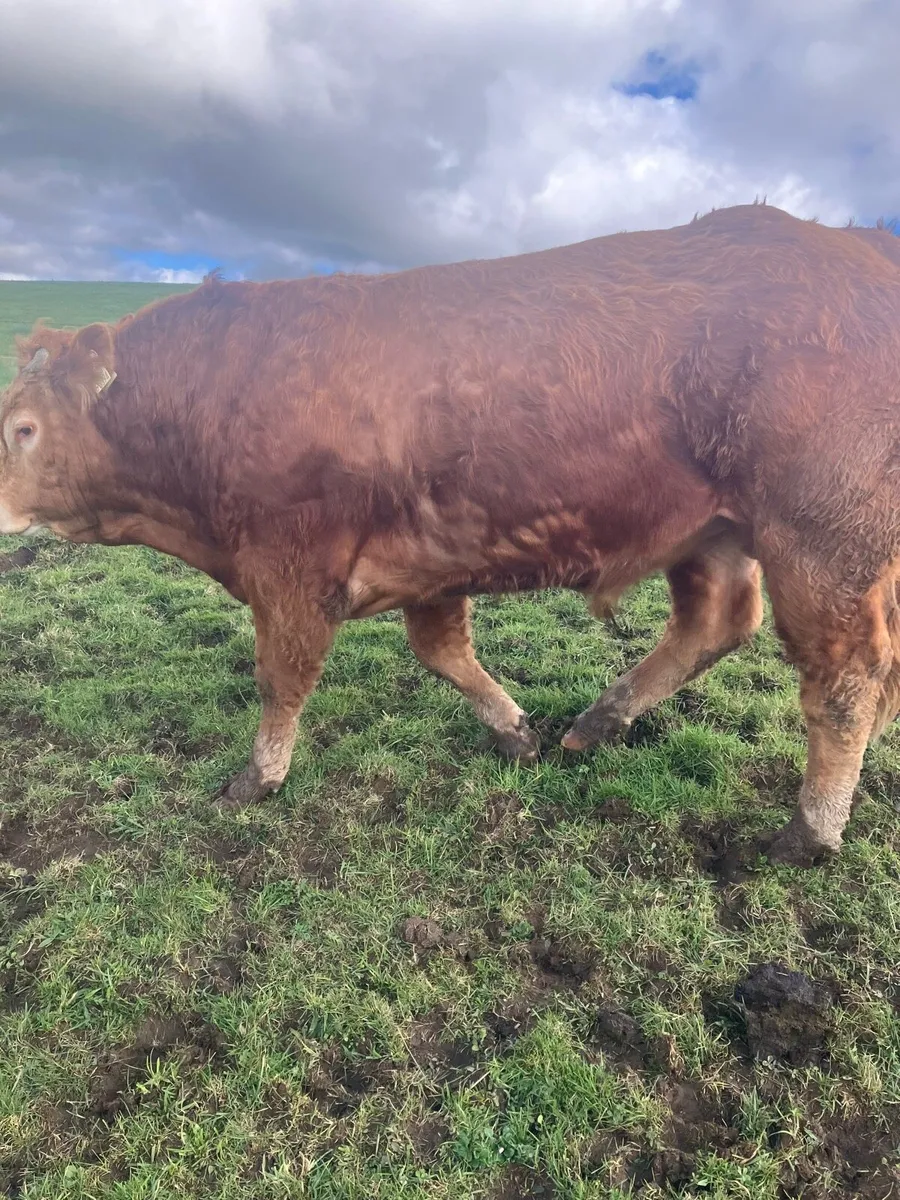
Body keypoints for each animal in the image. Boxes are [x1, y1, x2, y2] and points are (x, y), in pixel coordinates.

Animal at [2, 202, 900, 868]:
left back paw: (809, 830)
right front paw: (513, 731)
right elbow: (441, 653)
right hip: (713, 531)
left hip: (821, 536)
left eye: (21, 428)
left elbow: (281, 680)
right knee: (716, 623)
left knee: (847, 679)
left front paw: (256, 778)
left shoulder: (289, 567)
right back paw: (598, 722)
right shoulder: (427, 566)